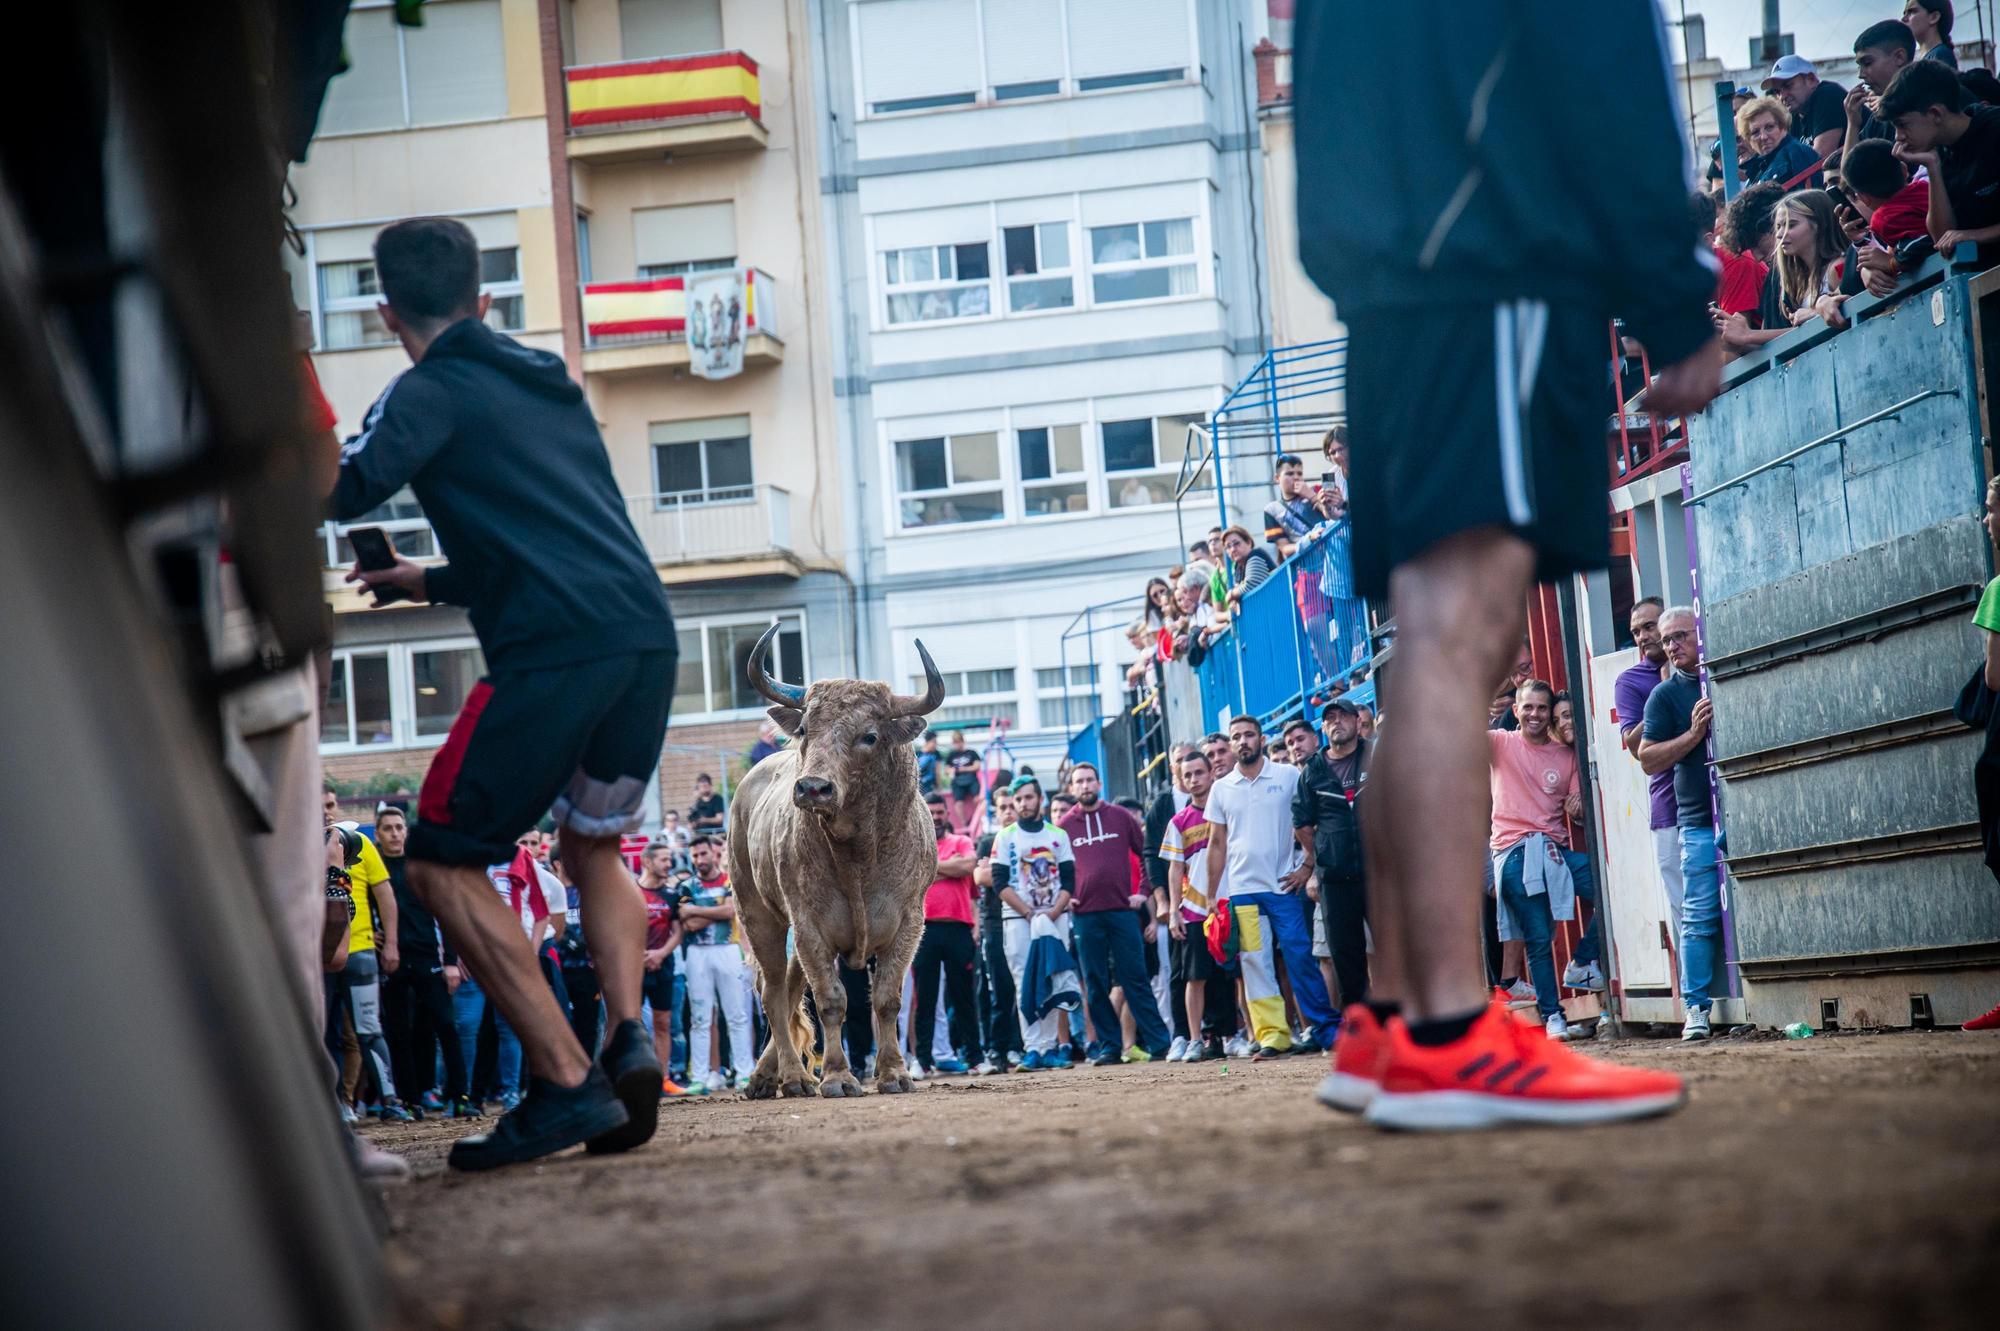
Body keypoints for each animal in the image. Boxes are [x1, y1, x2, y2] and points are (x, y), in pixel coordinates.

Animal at [728, 627, 944, 1095]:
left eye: (869, 735)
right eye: (805, 728)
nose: (813, 788)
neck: (858, 855)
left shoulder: (909, 923)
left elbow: (886, 999)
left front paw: (895, 1073)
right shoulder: (810, 924)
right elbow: (831, 1000)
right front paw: (838, 1077)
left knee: (789, 990)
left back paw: (765, 1075)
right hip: (759, 914)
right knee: (773, 992)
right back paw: (792, 1078)